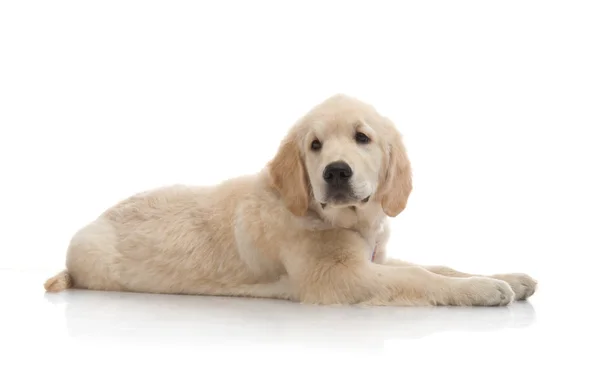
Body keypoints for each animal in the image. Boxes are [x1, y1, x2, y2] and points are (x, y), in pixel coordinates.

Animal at [44, 95, 536, 306]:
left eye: (362, 137)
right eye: (315, 145)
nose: (335, 172)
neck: (333, 217)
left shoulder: (372, 258)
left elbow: (439, 265)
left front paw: (506, 276)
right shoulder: (339, 278)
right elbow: (419, 276)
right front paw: (481, 289)